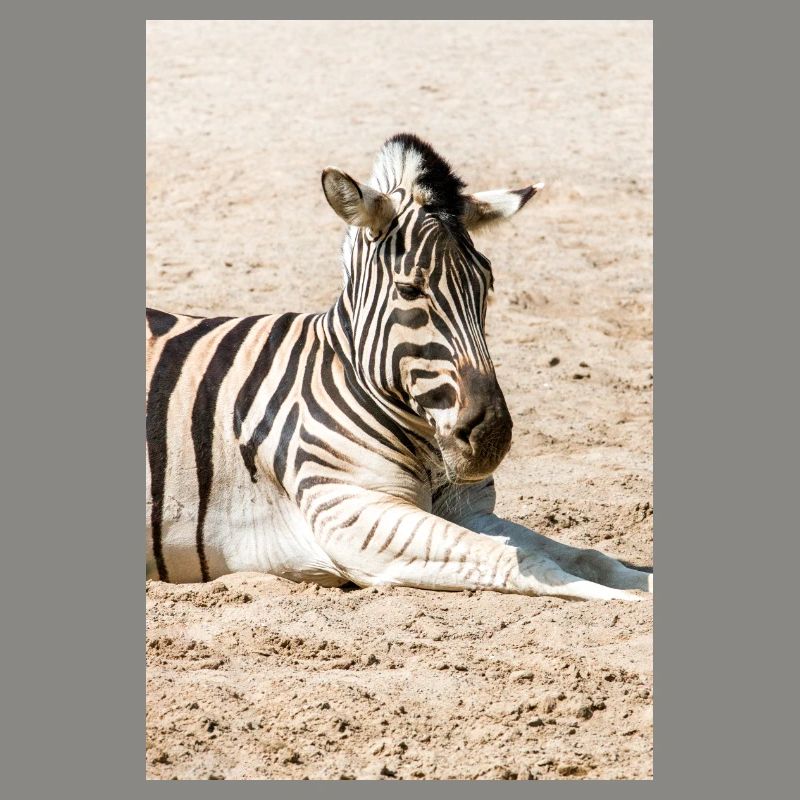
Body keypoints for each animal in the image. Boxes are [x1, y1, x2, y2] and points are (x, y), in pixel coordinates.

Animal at [146, 132, 652, 601]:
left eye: (487, 284)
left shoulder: (470, 510)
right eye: (410, 290)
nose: (492, 437)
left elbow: (587, 555)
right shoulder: (352, 514)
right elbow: (521, 560)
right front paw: (623, 602)